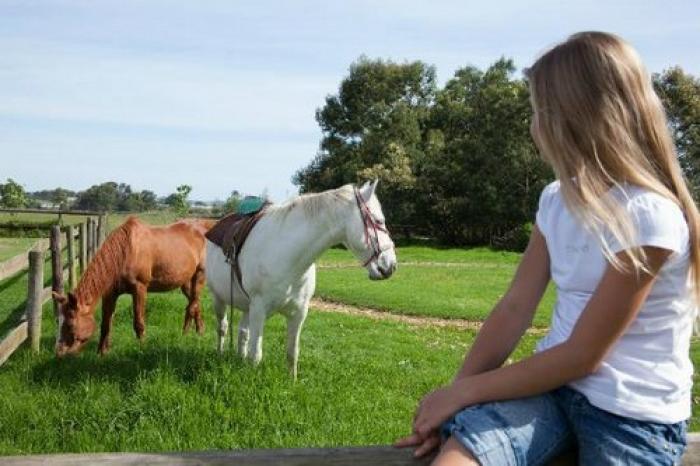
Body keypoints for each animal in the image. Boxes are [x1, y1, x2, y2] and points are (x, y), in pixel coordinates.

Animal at [54, 216, 215, 356]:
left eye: (70, 324)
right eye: (58, 321)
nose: (59, 353)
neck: (125, 252)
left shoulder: (139, 288)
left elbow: (139, 322)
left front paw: (141, 349)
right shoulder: (110, 293)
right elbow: (106, 323)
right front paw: (101, 353)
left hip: (199, 275)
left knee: (192, 306)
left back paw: (187, 334)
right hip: (186, 282)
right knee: (195, 304)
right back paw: (197, 332)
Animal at [205, 181, 396, 378]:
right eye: (379, 221)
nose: (390, 266)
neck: (286, 254)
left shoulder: (298, 313)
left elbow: (292, 352)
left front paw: (292, 380)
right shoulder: (259, 309)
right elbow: (256, 354)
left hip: (246, 307)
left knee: (243, 333)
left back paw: (239, 359)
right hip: (219, 299)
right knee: (222, 328)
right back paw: (220, 353)